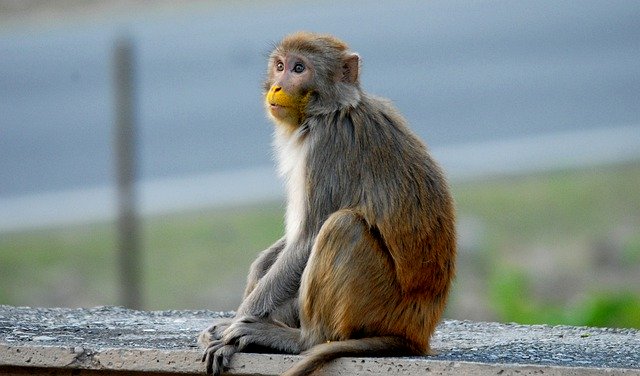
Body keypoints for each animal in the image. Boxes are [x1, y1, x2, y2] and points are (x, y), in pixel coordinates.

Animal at [199, 32, 456, 376]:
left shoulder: (327, 146)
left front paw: (231, 331)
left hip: (382, 306)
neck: (327, 111)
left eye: (299, 68)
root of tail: (416, 333)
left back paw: (302, 339)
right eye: (279, 66)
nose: (277, 86)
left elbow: (307, 239)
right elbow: (291, 243)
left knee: (342, 227)